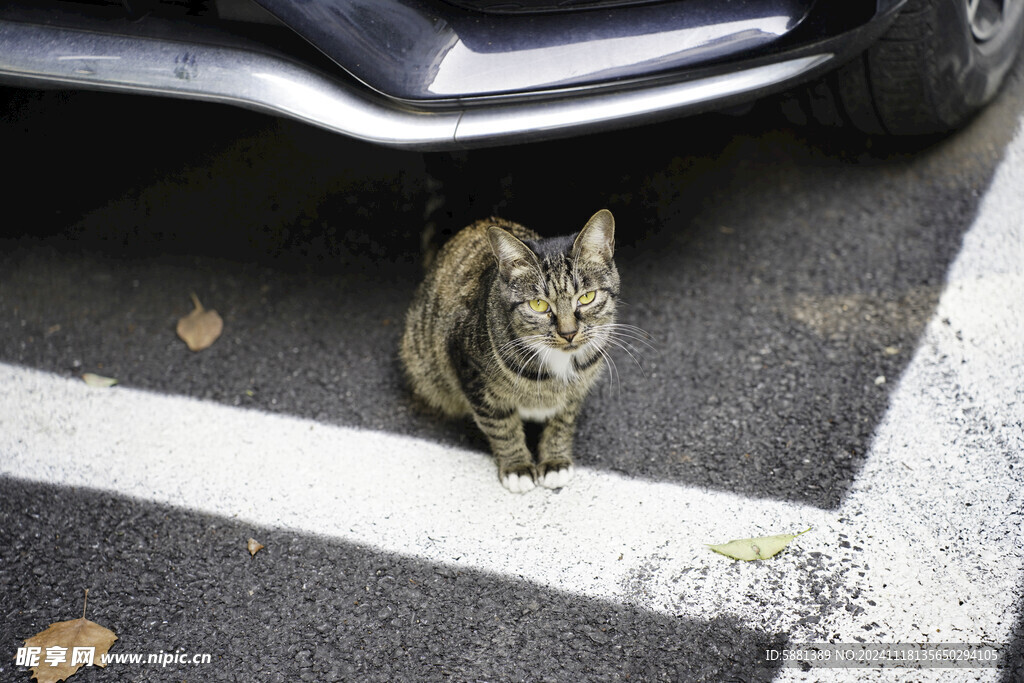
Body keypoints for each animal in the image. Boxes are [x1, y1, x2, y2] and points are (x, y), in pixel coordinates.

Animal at [401, 208, 614, 491]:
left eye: (587, 297)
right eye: (538, 305)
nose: (568, 333)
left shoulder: (575, 392)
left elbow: (562, 422)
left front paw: (555, 460)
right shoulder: (473, 377)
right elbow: (502, 427)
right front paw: (518, 467)